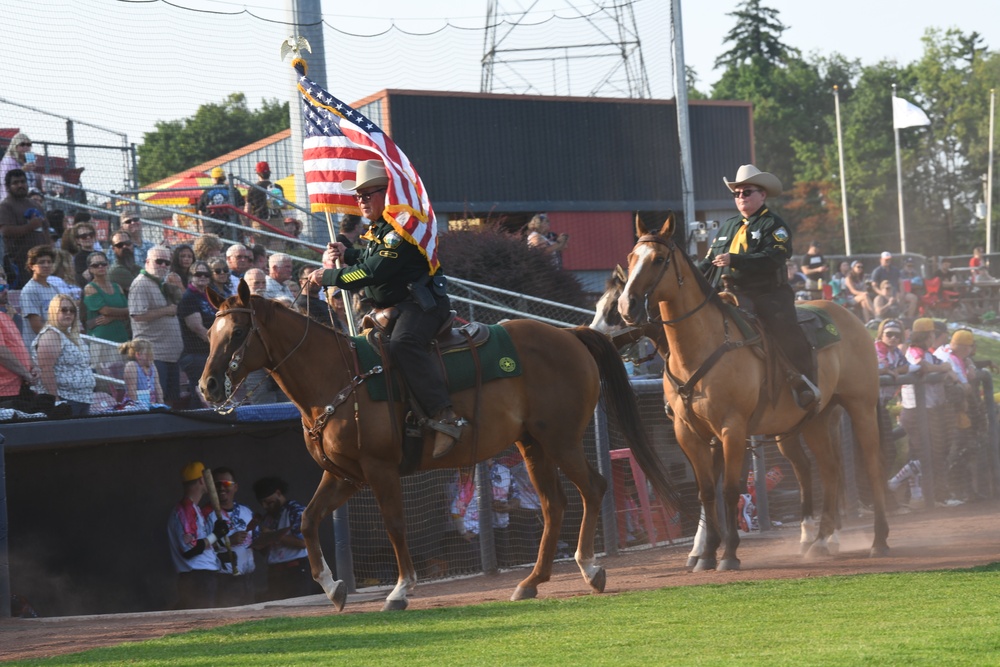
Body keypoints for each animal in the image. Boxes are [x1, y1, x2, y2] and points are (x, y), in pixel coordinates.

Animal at [199, 282, 684, 612]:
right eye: (210, 333)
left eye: (238, 331)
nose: (207, 386)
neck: (339, 377)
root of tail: (570, 335)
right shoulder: (344, 476)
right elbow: (308, 521)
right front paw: (333, 587)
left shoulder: (379, 470)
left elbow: (395, 524)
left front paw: (400, 589)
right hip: (533, 445)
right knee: (554, 505)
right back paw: (532, 581)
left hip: (560, 440)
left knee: (593, 489)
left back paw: (590, 567)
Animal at [616, 217, 892, 572]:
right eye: (631, 258)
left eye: (659, 259)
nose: (627, 305)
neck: (699, 347)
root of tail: (848, 316)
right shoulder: (689, 433)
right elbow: (707, 493)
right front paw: (705, 553)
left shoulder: (731, 429)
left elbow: (730, 490)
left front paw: (729, 553)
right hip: (813, 420)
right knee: (825, 470)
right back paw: (818, 540)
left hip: (861, 407)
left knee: (871, 466)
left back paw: (878, 540)